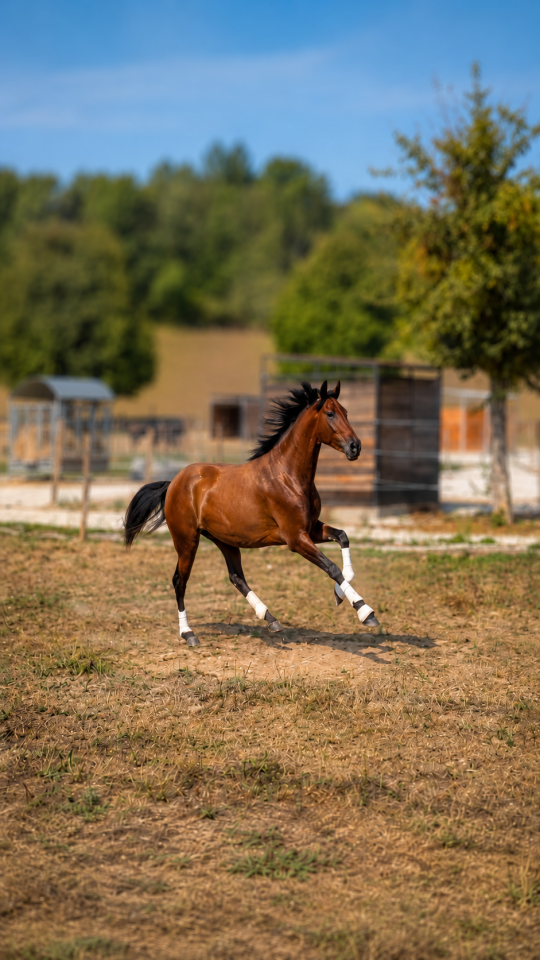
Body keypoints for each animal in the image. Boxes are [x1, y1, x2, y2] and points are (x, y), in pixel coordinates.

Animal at [123, 380, 379, 646]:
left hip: (224, 540)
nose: (355, 446)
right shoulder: (296, 538)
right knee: (179, 581)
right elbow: (331, 567)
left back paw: (270, 619)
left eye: (346, 412)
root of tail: (173, 482)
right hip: (186, 541)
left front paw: (340, 595)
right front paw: (365, 612)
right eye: (330, 413)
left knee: (236, 576)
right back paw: (189, 634)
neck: (288, 475)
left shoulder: (310, 528)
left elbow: (342, 537)